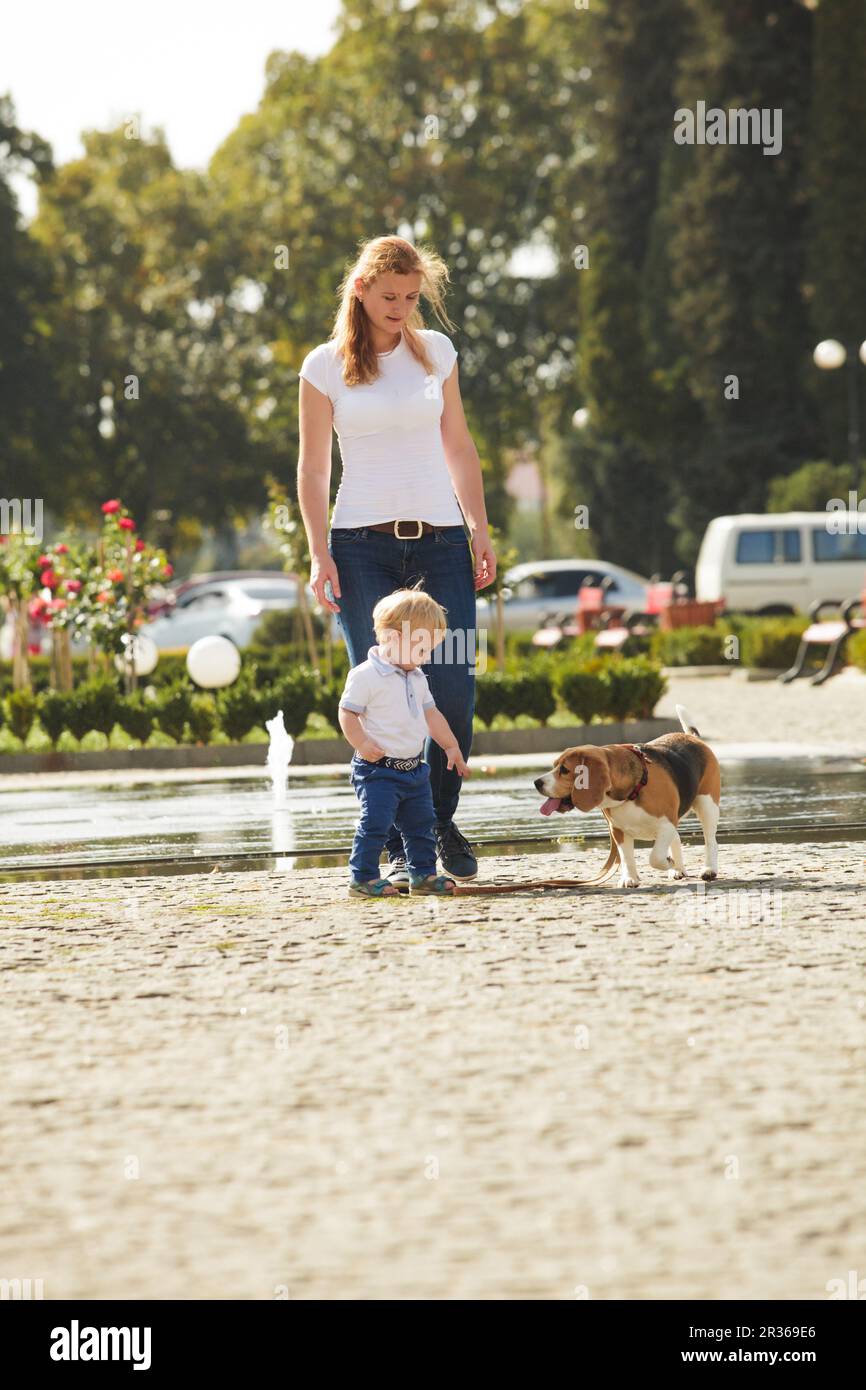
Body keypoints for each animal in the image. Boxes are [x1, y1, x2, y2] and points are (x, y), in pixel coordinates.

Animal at [530, 706, 722, 889]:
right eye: (555, 765)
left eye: (564, 770)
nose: (536, 782)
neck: (631, 794)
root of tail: (692, 737)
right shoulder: (618, 830)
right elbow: (627, 857)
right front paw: (630, 879)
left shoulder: (667, 823)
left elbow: (654, 857)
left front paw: (668, 863)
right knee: (676, 839)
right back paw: (678, 870)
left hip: (707, 806)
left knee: (710, 841)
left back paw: (708, 870)